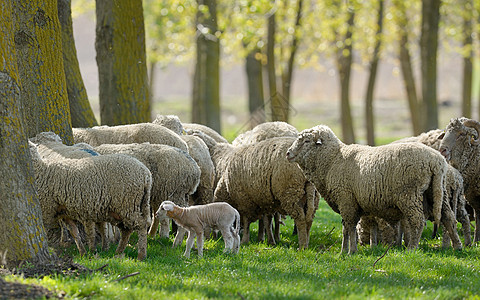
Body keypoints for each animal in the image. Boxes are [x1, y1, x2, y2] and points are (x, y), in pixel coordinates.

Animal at [284, 124, 462, 253]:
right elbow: (346, 228)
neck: (333, 160)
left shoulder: (346, 199)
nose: (288, 153)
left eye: (306, 141)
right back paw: (457, 246)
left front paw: (351, 251)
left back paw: (412, 249)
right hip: (437, 192)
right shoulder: (349, 202)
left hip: (409, 194)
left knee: (417, 221)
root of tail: (436, 161)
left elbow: (349, 227)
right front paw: (344, 251)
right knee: (448, 218)